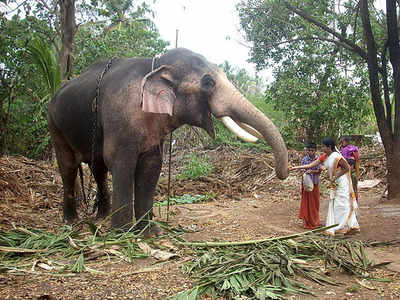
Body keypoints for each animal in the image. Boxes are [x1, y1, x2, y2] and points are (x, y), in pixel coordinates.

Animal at [47, 47, 288, 234]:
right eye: (208, 82)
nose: (281, 175)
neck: (156, 64)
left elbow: (151, 166)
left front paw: (150, 232)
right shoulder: (119, 115)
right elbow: (121, 162)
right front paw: (121, 235)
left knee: (98, 168)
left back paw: (101, 217)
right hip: (54, 124)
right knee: (68, 166)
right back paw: (71, 221)